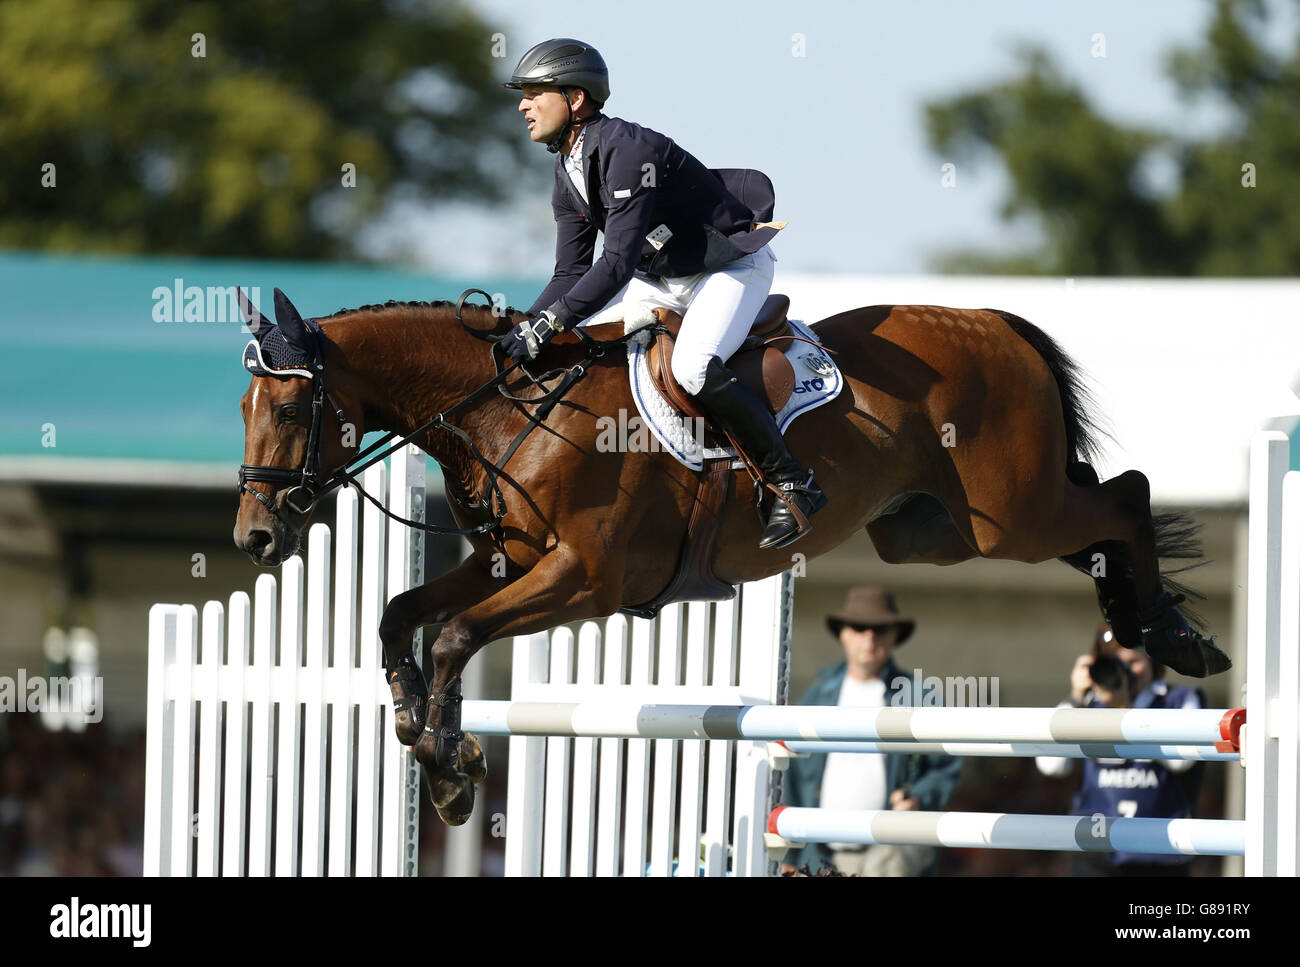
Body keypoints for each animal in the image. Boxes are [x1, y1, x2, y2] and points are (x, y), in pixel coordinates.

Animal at [233, 288, 1228, 826]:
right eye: (246, 409)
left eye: (287, 408)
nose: (255, 537)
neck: (508, 406)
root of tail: (995, 322)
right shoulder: (508, 564)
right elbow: (400, 614)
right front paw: (419, 734)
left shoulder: (583, 578)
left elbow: (451, 637)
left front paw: (451, 764)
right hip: (933, 532)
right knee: (1097, 527)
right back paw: (1152, 622)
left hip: (1008, 517)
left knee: (1126, 492)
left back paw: (1177, 639)